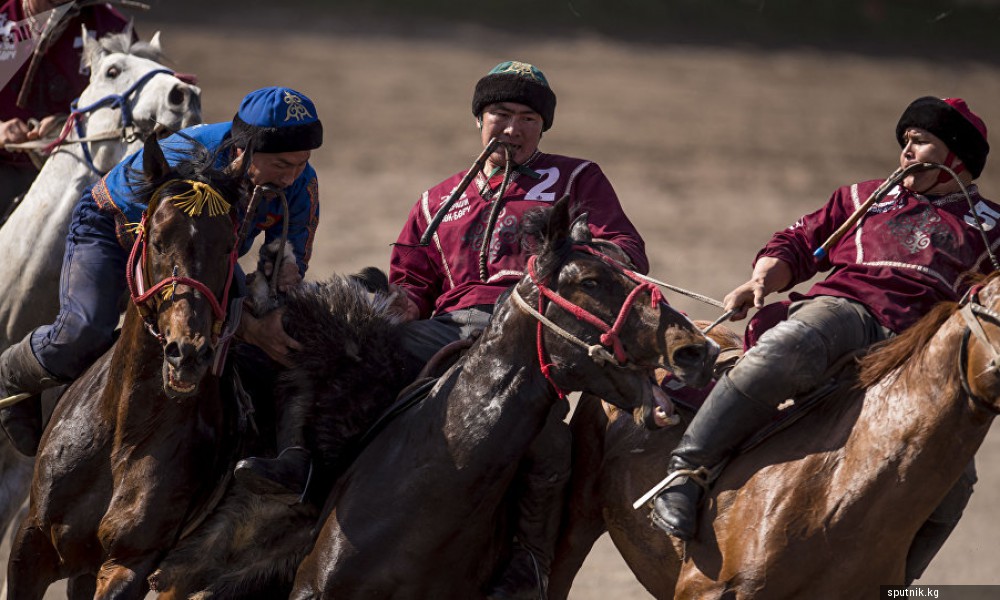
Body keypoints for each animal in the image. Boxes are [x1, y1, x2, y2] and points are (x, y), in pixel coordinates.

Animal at [6, 136, 246, 600]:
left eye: (228, 245)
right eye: (158, 239)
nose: (187, 353)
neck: (121, 432)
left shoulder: (128, 564)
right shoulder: (31, 542)